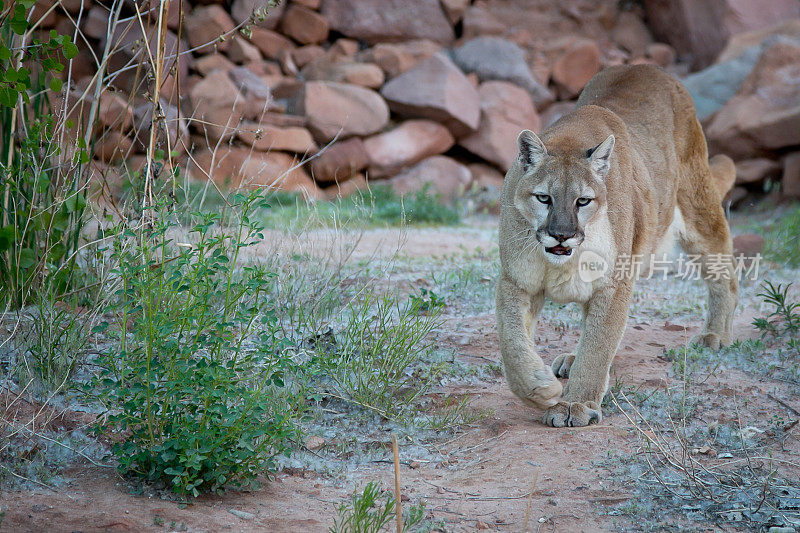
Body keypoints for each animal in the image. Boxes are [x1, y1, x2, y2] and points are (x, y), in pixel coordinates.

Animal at [500, 63, 736, 428]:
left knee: (725, 271)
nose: (561, 235)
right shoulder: (515, 280)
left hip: (699, 208)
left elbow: (598, 347)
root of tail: (646, 66)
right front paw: (540, 389)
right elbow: (512, 342)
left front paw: (575, 404)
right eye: (544, 198)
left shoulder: (614, 284)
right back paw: (570, 360)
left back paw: (715, 336)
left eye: (583, 201)